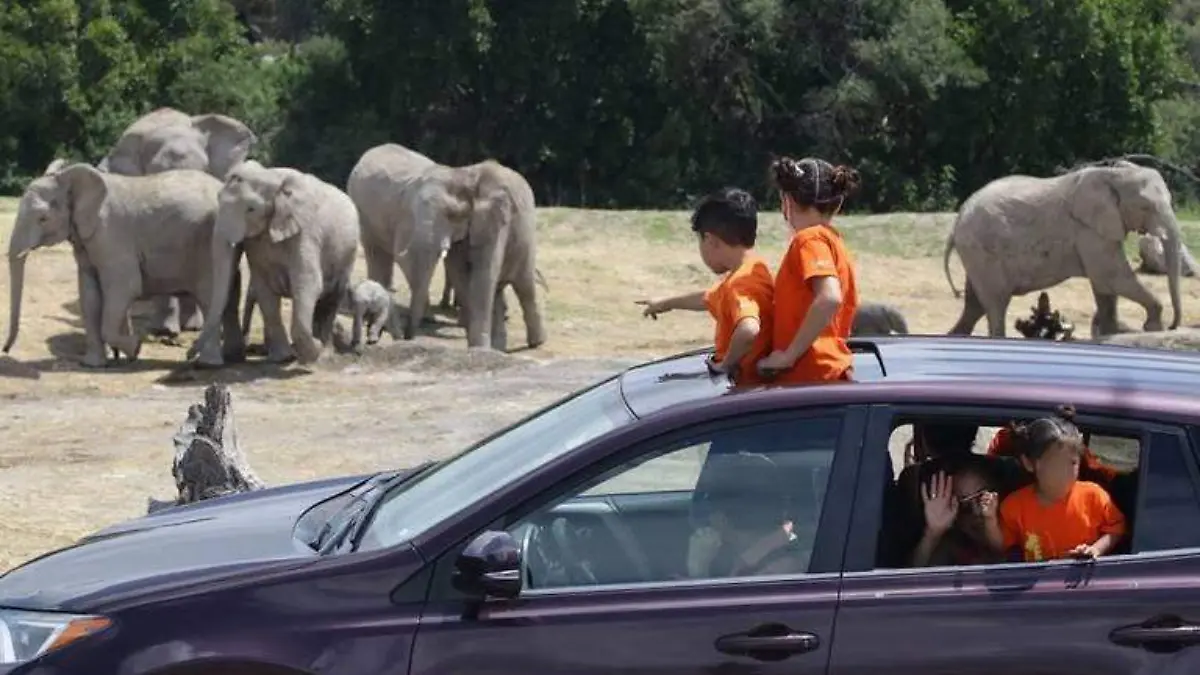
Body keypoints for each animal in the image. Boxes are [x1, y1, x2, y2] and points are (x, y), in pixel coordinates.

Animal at [1, 160, 246, 365]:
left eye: (43, 218)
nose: (5, 349)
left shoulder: (112, 236)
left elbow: (124, 287)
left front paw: (134, 350)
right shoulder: (87, 241)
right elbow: (89, 295)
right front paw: (94, 364)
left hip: (208, 246)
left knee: (209, 297)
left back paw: (208, 364)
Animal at [189, 159, 357, 365]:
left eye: (251, 209)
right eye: (218, 199)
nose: (189, 354)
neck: (270, 176)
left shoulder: (306, 231)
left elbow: (308, 282)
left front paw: (310, 352)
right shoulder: (256, 244)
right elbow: (265, 292)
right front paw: (283, 358)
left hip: (348, 255)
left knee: (331, 299)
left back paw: (324, 354)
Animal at [345, 144, 547, 348]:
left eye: (453, 214)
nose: (408, 338)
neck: (461, 175)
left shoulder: (492, 221)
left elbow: (480, 273)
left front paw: (479, 346)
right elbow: (460, 273)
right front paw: (477, 343)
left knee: (523, 283)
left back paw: (534, 342)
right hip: (363, 216)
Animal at [940, 160, 1185, 338]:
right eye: (1145, 207)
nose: (1173, 326)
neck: (1112, 174)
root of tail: (956, 222)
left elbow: (1104, 285)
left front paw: (1110, 333)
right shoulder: (1087, 229)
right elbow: (1110, 275)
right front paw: (1153, 327)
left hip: (977, 254)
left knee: (974, 306)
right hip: (982, 252)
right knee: (996, 303)